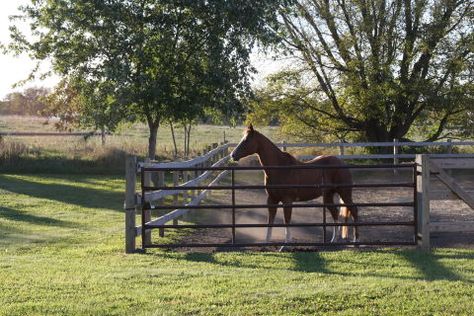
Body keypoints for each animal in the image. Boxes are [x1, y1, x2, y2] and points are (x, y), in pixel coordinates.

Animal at [231, 124, 360, 243]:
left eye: (246, 140)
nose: (233, 155)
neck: (280, 168)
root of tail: (341, 163)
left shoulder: (287, 201)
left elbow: (287, 221)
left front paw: (286, 244)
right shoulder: (272, 200)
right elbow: (270, 221)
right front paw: (267, 242)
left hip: (344, 193)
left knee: (354, 210)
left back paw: (356, 240)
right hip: (328, 196)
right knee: (335, 213)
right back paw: (333, 240)